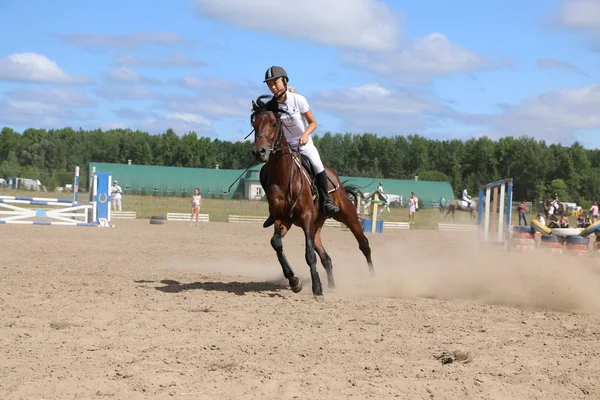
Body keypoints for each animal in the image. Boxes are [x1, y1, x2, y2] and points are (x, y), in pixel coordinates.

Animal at [250, 94, 372, 300]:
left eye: (274, 123)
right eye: (254, 123)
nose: (260, 152)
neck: (284, 176)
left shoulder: (306, 217)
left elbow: (308, 255)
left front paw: (317, 289)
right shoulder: (283, 219)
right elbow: (276, 243)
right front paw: (294, 281)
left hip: (347, 215)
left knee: (364, 244)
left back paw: (375, 279)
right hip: (316, 226)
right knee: (326, 257)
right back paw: (332, 286)